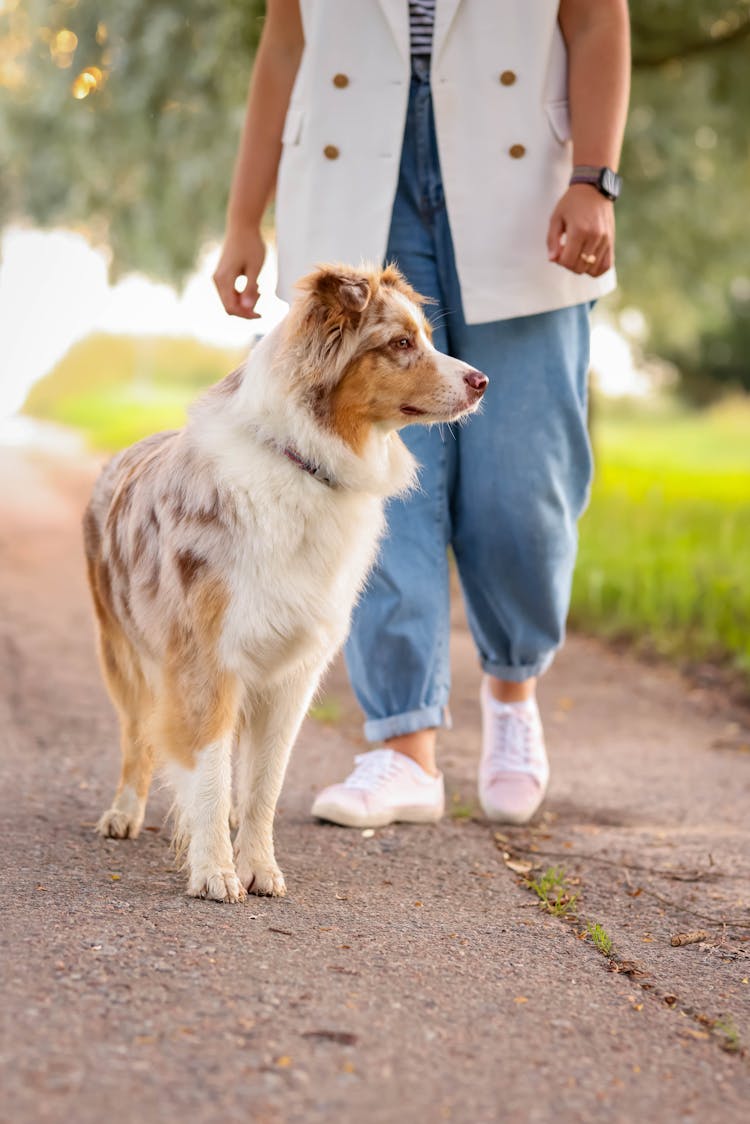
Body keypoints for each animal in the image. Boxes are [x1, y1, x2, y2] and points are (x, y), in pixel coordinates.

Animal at [83, 258, 488, 899]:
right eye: (400, 344)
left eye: (424, 337)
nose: (483, 381)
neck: (305, 463)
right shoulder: (207, 659)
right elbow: (206, 767)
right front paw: (215, 870)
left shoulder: (293, 671)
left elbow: (264, 781)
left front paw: (258, 866)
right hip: (122, 653)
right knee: (137, 737)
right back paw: (125, 811)